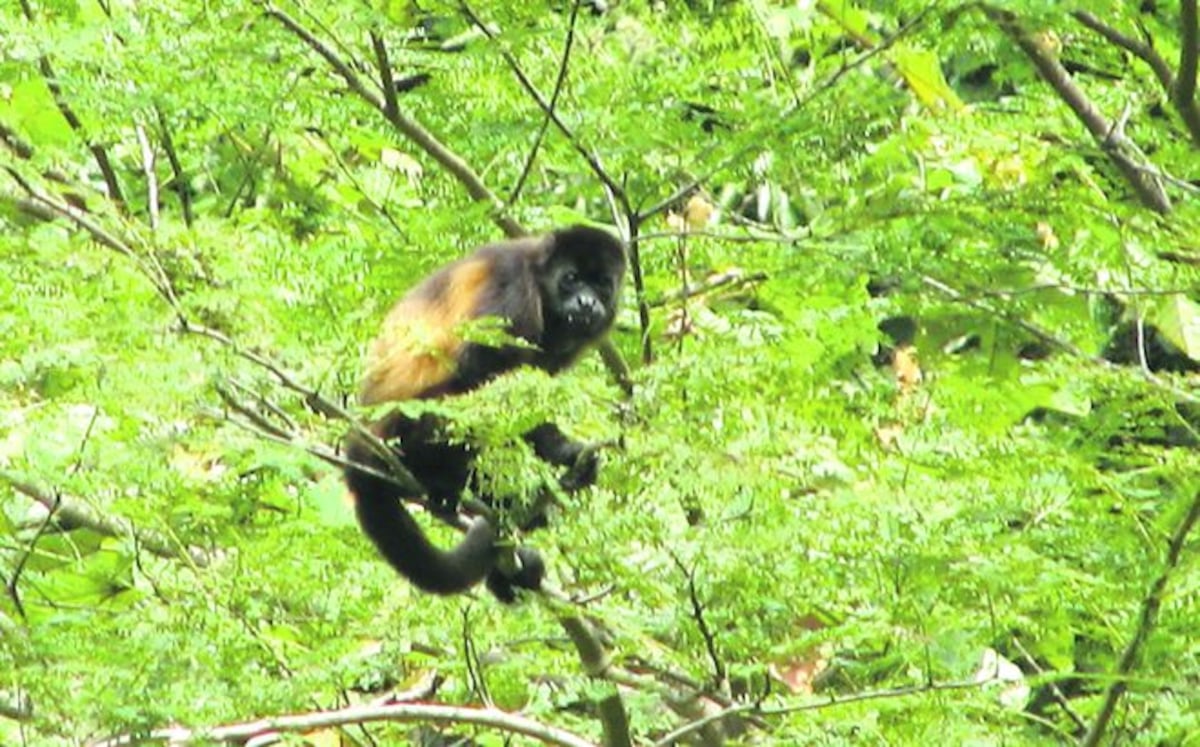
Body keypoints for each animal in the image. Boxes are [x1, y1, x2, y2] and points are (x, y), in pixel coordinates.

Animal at [343, 225, 628, 605]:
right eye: (571, 278)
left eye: (602, 285)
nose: (587, 302)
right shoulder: (512, 291)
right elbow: (485, 370)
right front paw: (563, 455)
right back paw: (448, 482)